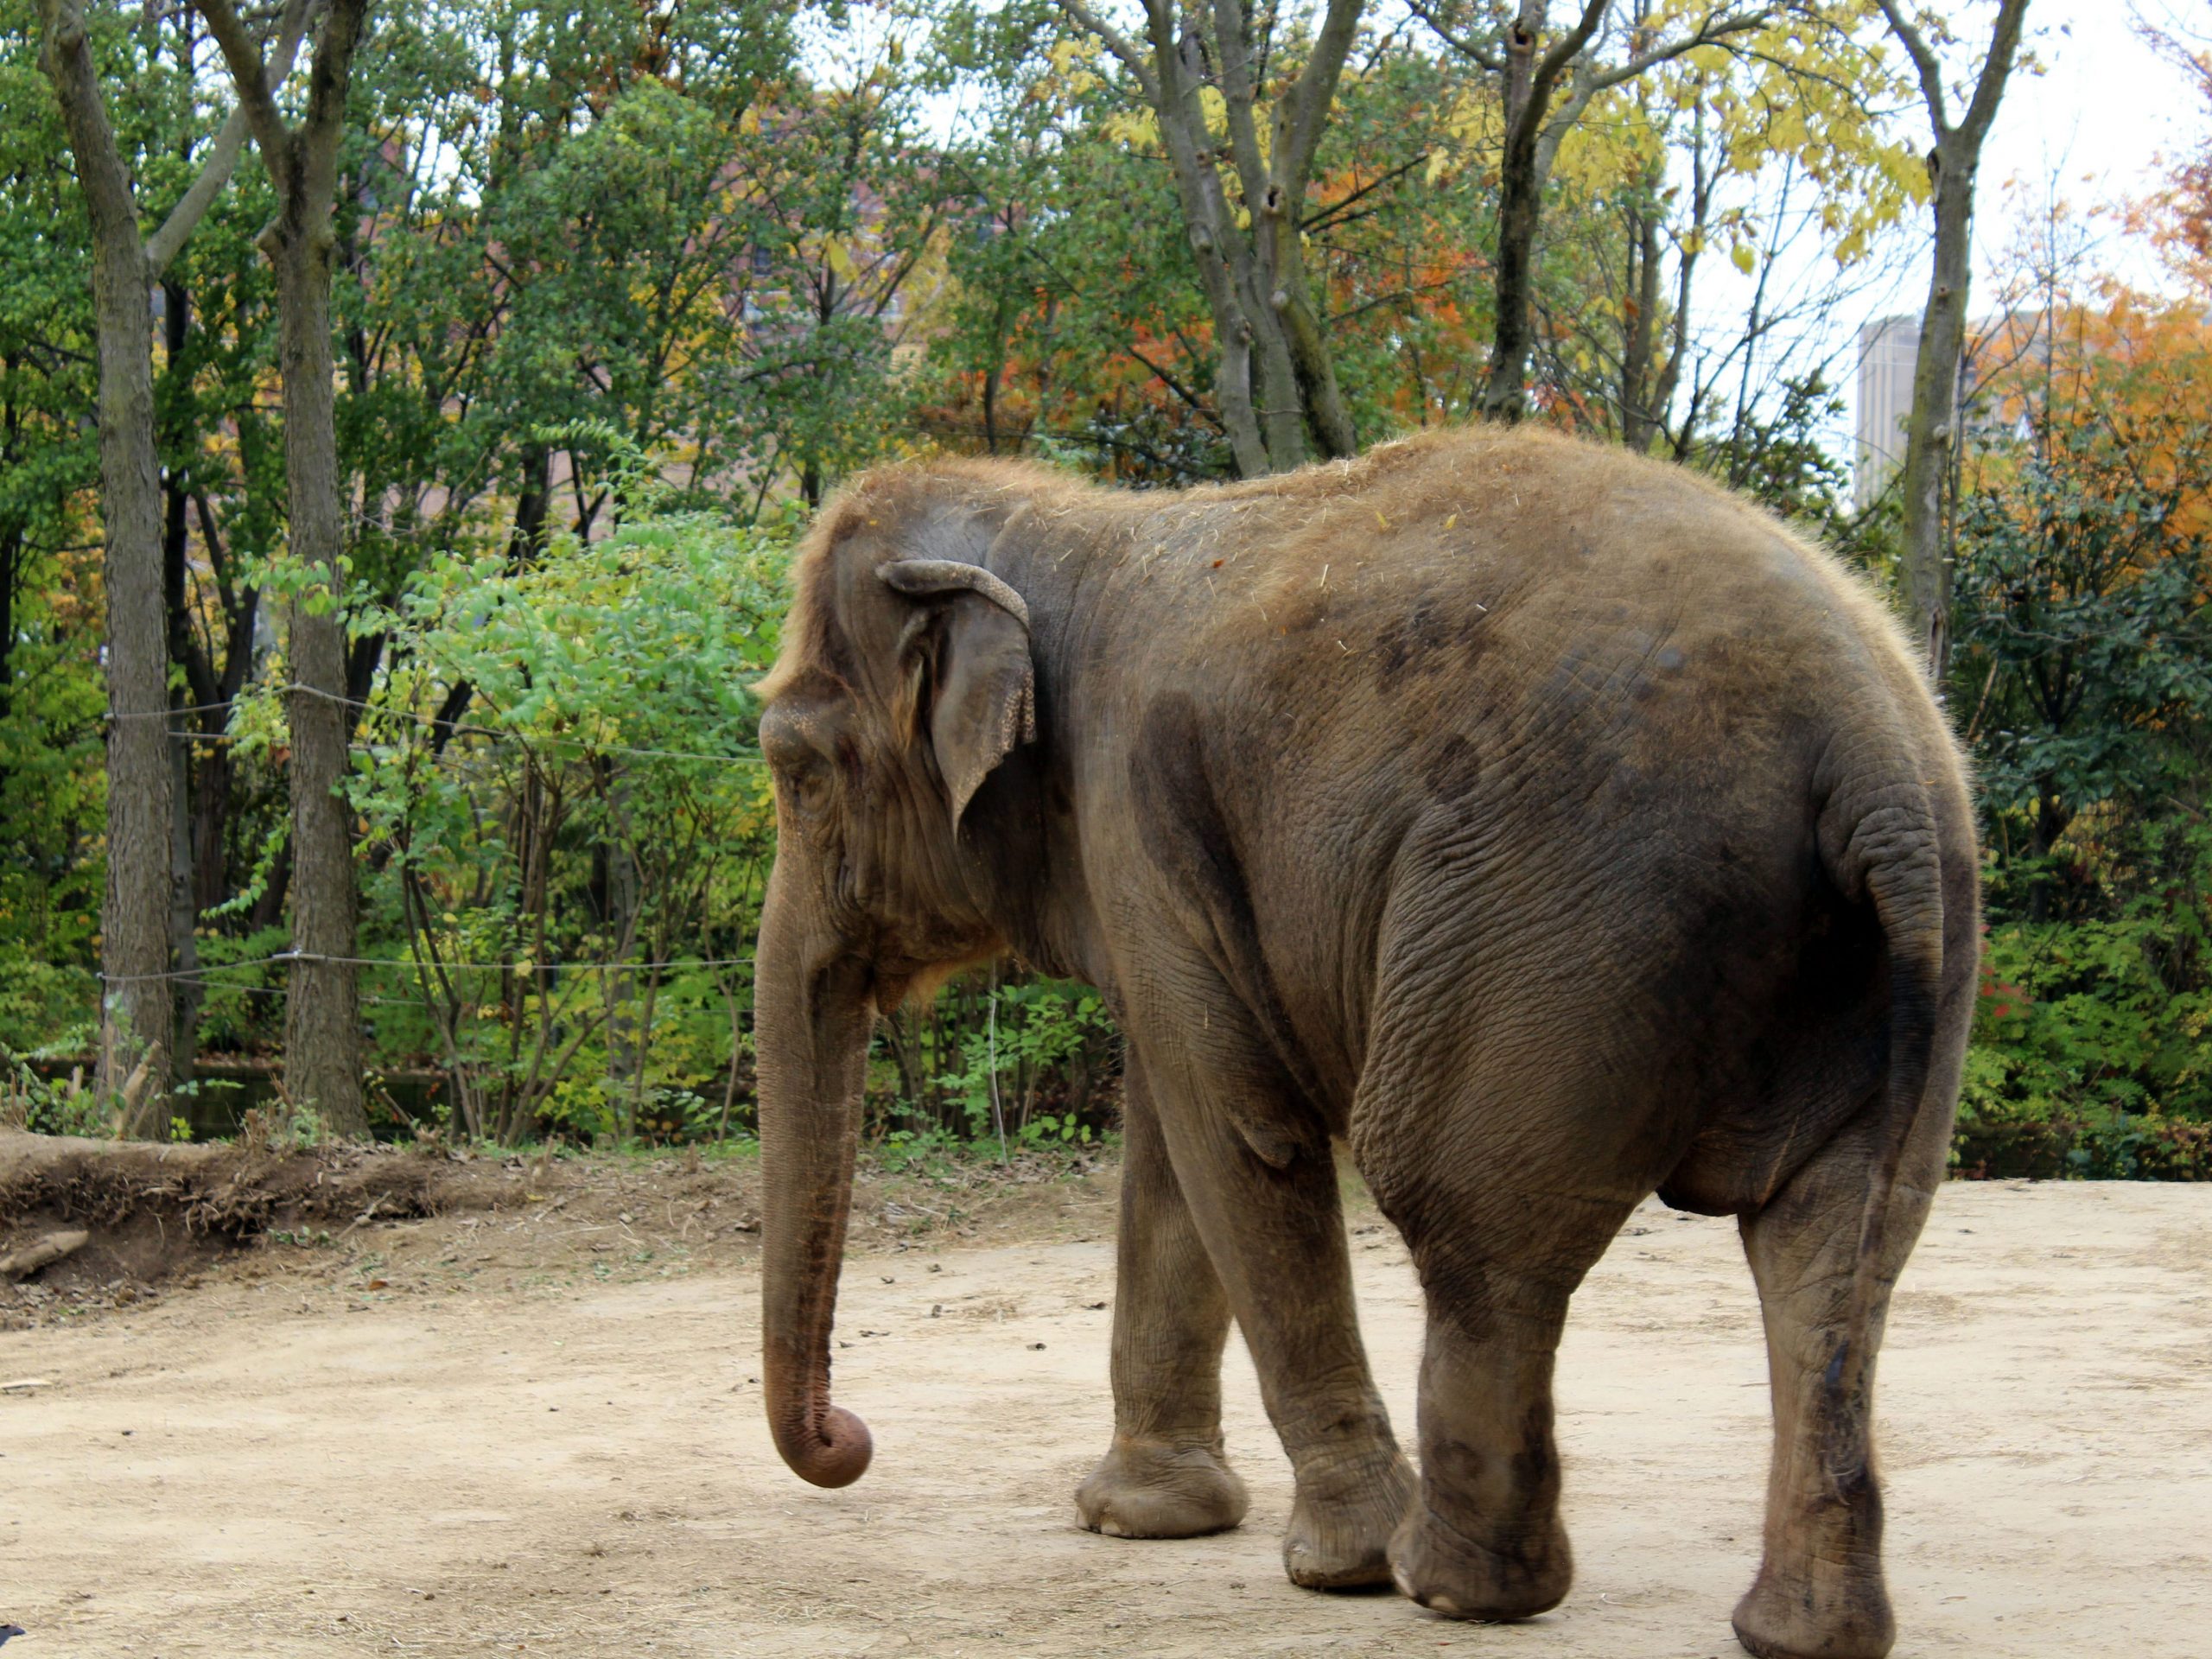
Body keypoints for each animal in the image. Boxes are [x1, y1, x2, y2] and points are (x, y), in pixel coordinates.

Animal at [752, 429, 1981, 1659]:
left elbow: (1239, 1139)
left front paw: (1332, 1567)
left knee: (1466, 1217)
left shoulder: (1136, 812)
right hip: (1891, 957)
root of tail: (1871, 748)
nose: (850, 1436)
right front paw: (1145, 1520)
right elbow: (1173, 1144)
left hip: (1563, 916)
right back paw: (1799, 1633)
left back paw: (1445, 1585)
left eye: (798, 774)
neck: (1069, 527)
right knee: (1838, 1244)